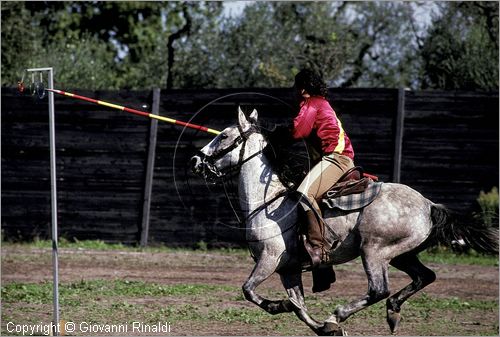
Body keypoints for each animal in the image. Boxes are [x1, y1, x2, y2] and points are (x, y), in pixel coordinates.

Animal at [189, 107, 498, 334]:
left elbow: (249, 291)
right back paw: (392, 312)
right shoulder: (288, 269)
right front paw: (322, 328)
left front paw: (287, 309)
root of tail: (429, 205)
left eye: (224, 136)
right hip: (402, 254)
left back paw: (340, 314)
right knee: (425, 276)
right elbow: (299, 306)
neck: (270, 202)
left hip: (374, 251)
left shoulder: (270, 259)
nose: (196, 161)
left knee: (379, 289)